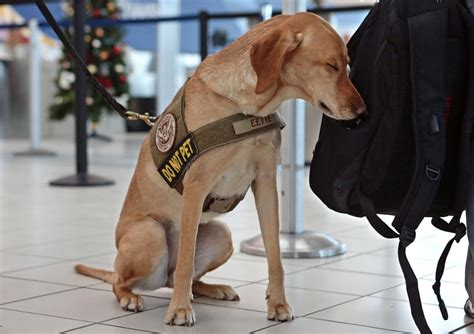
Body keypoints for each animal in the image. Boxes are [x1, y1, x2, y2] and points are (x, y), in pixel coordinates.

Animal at [76, 12, 364, 326]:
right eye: (331, 66)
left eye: (346, 65)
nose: (362, 113)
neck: (246, 108)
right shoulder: (196, 188)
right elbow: (186, 263)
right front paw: (179, 310)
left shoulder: (265, 184)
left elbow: (275, 255)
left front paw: (277, 303)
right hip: (150, 234)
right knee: (128, 280)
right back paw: (133, 297)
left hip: (222, 234)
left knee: (178, 278)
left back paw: (213, 289)